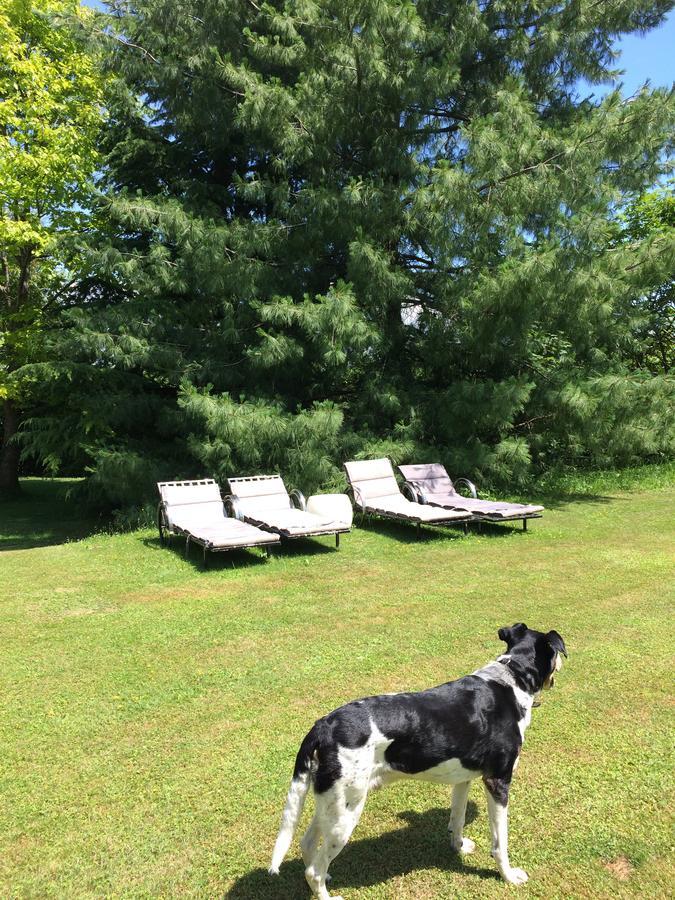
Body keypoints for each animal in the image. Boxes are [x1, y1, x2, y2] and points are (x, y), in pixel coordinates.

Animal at [272, 624, 568, 896]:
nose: (564, 662)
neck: (512, 678)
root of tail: (323, 726)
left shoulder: (463, 779)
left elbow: (457, 818)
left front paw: (459, 847)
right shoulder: (498, 781)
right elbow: (499, 842)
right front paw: (509, 876)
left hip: (330, 802)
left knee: (307, 844)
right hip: (346, 813)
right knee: (313, 870)